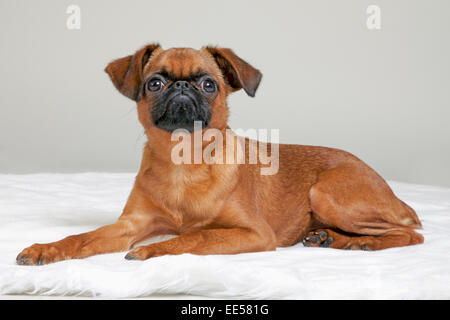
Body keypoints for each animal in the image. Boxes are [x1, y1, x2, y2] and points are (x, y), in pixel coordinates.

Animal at [14, 44, 422, 264]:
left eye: (209, 84)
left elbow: (195, 239)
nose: (182, 87)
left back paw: (361, 241)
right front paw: (45, 248)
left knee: (411, 235)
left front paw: (153, 251)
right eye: (154, 83)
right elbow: (81, 238)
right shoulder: (128, 227)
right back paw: (330, 238)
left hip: (326, 194)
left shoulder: (254, 234)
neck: (184, 162)